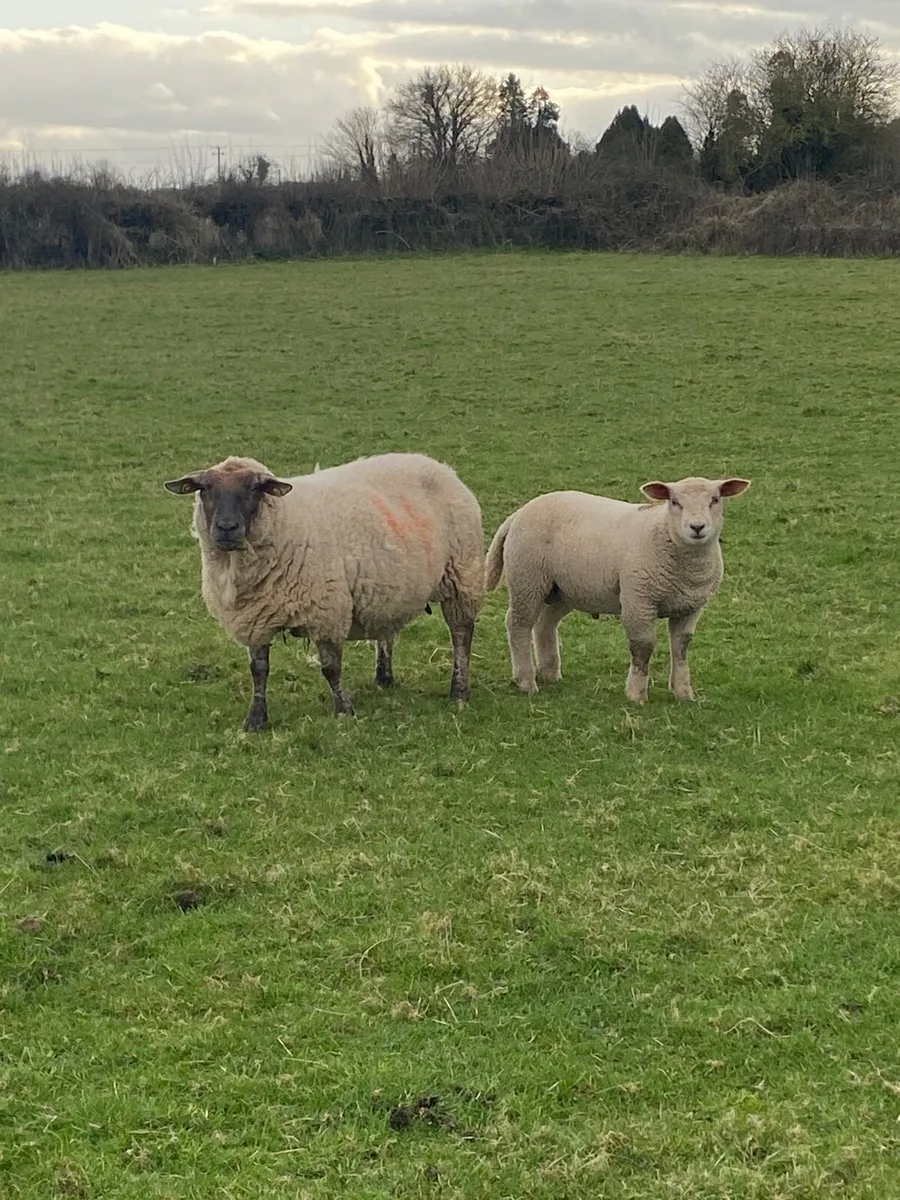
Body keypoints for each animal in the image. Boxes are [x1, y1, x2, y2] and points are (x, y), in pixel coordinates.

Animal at [165, 452, 485, 731]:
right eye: (204, 489)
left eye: (255, 489)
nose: (226, 528)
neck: (286, 521)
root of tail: (440, 466)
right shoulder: (255, 619)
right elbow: (258, 671)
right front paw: (255, 721)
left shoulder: (326, 612)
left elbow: (331, 668)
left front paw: (344, 710)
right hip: (390, 588)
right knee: (386, 632)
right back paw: (384, 678)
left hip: (462, 575)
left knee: (461, 635)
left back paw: (459, 691)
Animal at [485, 476, 751, 703]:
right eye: (674, 502)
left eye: (715, 499)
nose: (697, 527)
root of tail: (519, 513)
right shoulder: (638, 600)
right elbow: (643, 647)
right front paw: (636, 695)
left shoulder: (690, 607)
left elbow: (681, 648)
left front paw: (684, 693)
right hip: (527, 579)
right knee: (518, 624)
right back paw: (526, 682)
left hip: (563, 589)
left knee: (544, 625)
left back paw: (550, 674)